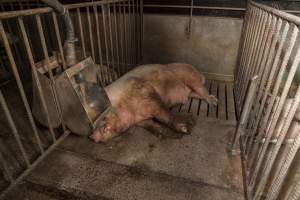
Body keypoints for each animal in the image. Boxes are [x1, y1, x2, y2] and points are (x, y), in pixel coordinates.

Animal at [89, 62, 218, 142]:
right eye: (94, 125)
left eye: (104, 117)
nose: (92, 137)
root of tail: (199, 73)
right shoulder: (140, 120)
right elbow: (149, 124)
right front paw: (160, 133)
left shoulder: (147, 92)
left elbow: (164, 114)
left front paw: (184, 130)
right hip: (191, 91)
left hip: (192, 79)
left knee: (203, 90)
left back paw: (214, 102)